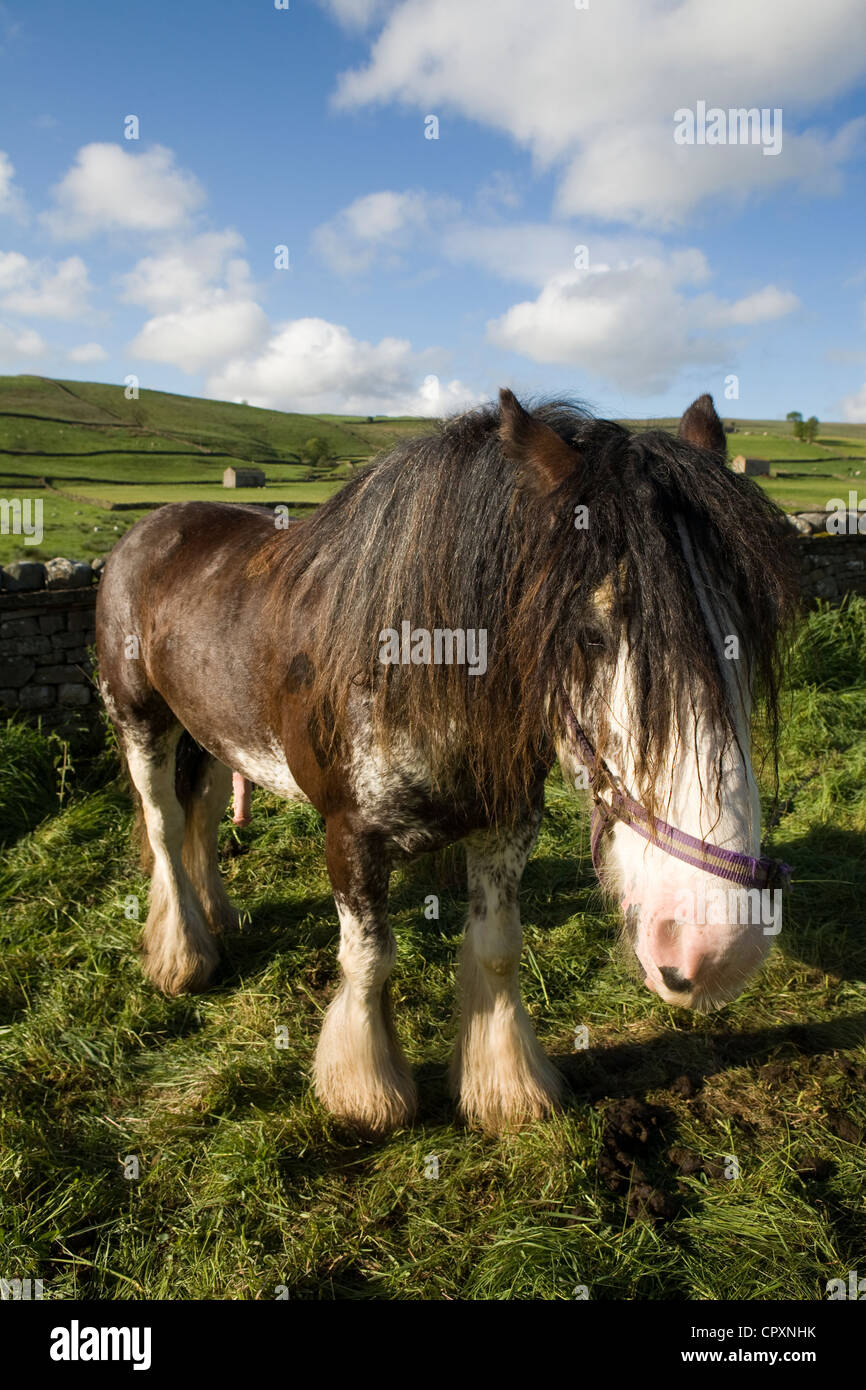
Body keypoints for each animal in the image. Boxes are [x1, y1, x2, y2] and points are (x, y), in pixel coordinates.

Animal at [95, 389, 796, 1136]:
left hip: (206, 731)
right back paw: (183, 957)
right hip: (141, 722)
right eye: (590, 633)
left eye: (744, 630)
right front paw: (366, 1092)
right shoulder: (350, 837)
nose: (717, 947)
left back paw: (215, 918)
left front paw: (506, 1088)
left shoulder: (506, 826)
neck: (416, 662)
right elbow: (369, 959)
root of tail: (149, 528)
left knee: (198, 813)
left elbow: (497, 947)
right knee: (165, 826)